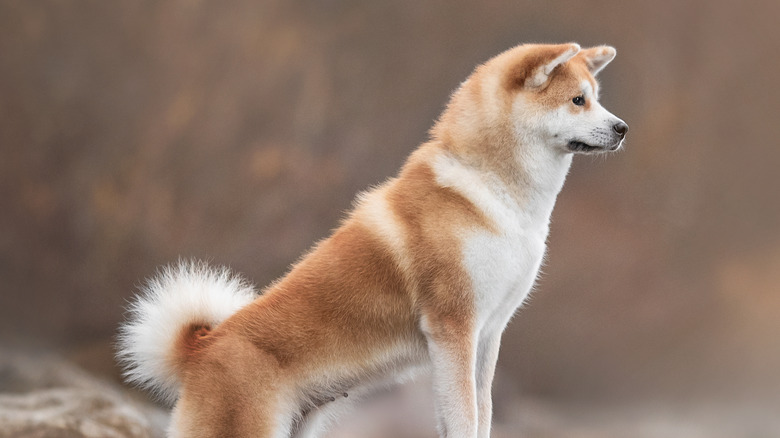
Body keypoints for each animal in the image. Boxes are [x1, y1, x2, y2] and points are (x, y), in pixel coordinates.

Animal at [116, 42, 628, 438]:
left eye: (596, 98)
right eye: (578, 100)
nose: (622, 128)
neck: (494, 192)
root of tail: (202, 348)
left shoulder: (488, 332)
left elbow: (482, 412)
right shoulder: (453, 329)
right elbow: (464, 416)